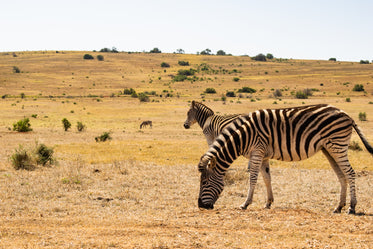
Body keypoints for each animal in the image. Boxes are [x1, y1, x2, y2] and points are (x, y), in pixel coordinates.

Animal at [196, 104, 370, 215]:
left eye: (204, 182)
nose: (200, 206)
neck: (243, 137)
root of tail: (347, 115)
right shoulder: (263, 154)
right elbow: (267, 178)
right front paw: (268, 202)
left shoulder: (257, 151)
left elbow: (253, 178)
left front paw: (245, 203)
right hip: (329, 149)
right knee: (341, 175)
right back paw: (339, 207)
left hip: (337, 145)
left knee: (350, 173)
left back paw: (352, 207)